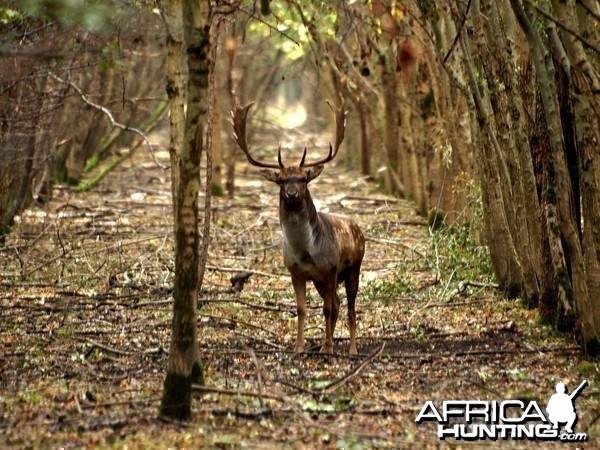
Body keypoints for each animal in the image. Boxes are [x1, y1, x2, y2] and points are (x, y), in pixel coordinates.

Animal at [231, 101, 366, 356]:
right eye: (281, 180)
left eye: (304, 178)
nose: (292, 194)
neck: (306, 252)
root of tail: (359, 229)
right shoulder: (296, 271)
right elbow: (302, 308)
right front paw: (299, 346)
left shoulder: (330, 269)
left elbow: (327, 309)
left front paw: (328, 348)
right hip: (321, 281)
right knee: (338, 303)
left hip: (354, 267)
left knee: (350, 307)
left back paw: (351, 349)